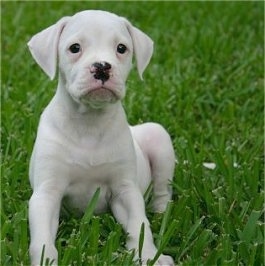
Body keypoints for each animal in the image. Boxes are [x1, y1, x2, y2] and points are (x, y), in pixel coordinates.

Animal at [27, 9, 174, 264]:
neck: (89, 124)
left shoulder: (125, 190)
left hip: (158, 137)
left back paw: (161, 214)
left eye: (121, 48)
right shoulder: (47, 193)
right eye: (74, 48)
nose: (102, 67)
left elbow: (139, 226)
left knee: (162, 191)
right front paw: (45, 260)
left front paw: (150, 257)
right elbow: (42, 240)